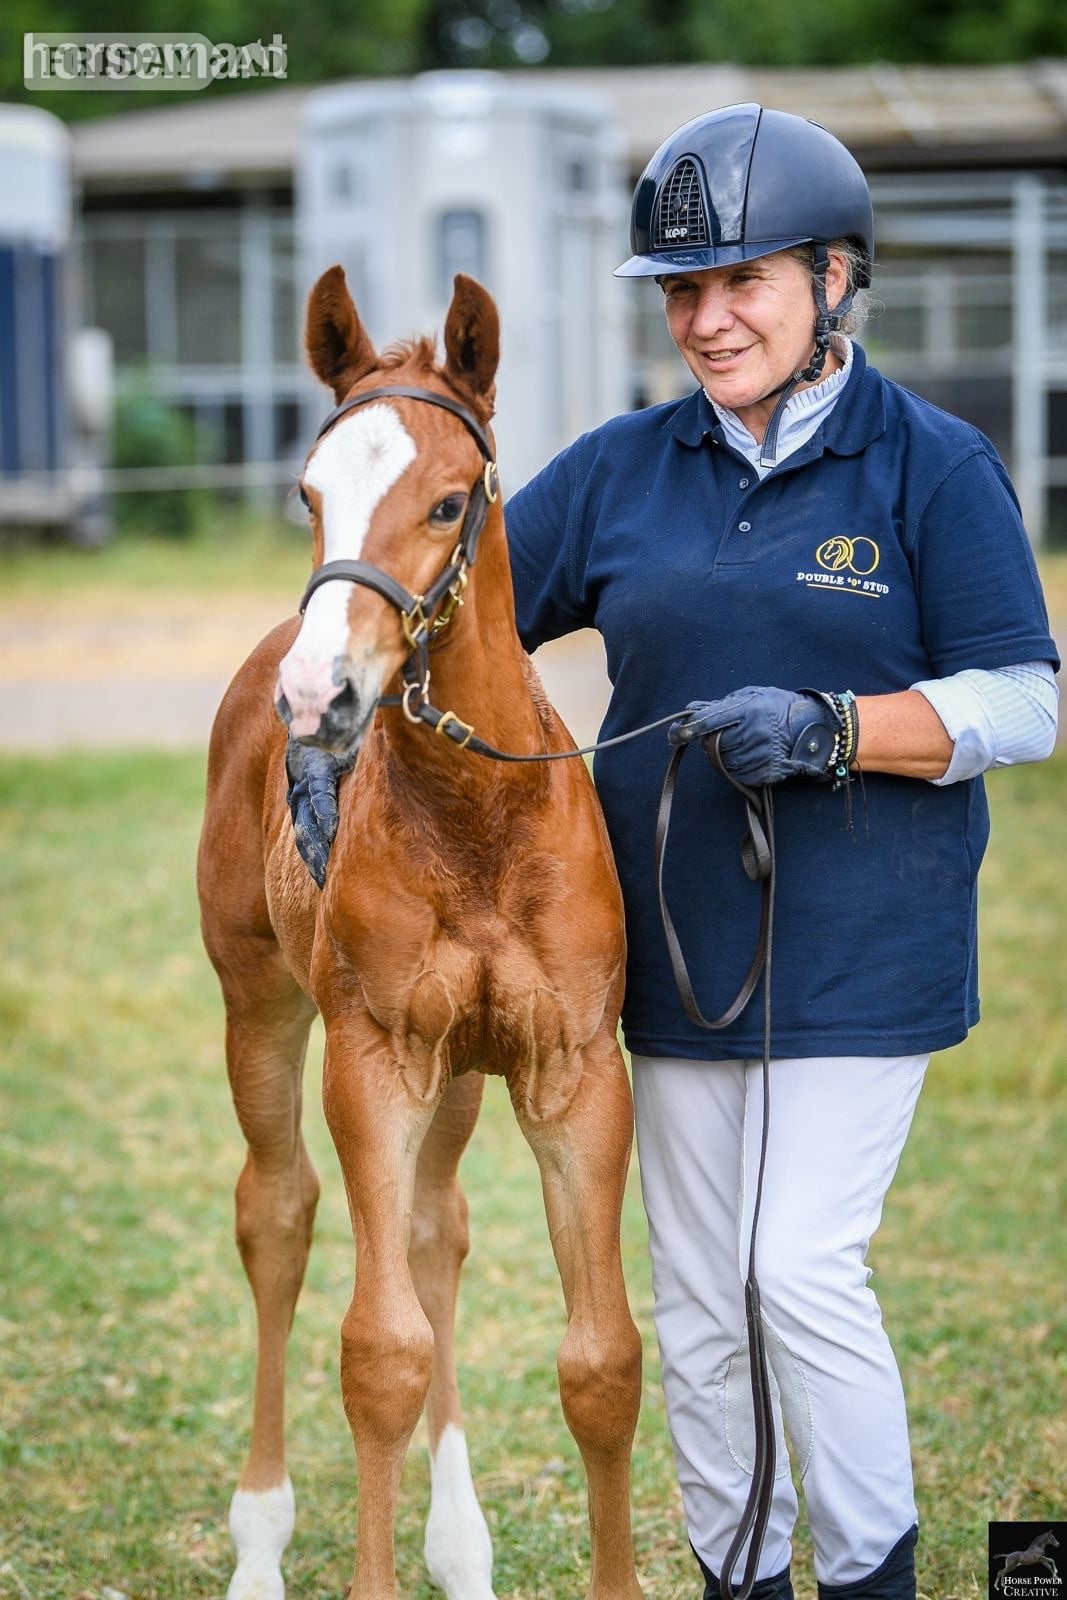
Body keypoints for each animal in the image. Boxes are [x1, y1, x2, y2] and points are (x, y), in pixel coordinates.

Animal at [197, 265, 644, 1600]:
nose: (318, 695)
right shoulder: (374, 1058)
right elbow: (378, 1353)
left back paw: (460, 1541)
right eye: (308, 493)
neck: (476, 822)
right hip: (259, 1003)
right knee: (278, 1213)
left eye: (449, 501)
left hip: (460, 1072)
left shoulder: (571, 1071)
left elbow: (601, 1361)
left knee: (436, 1230)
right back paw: (259, 1540)